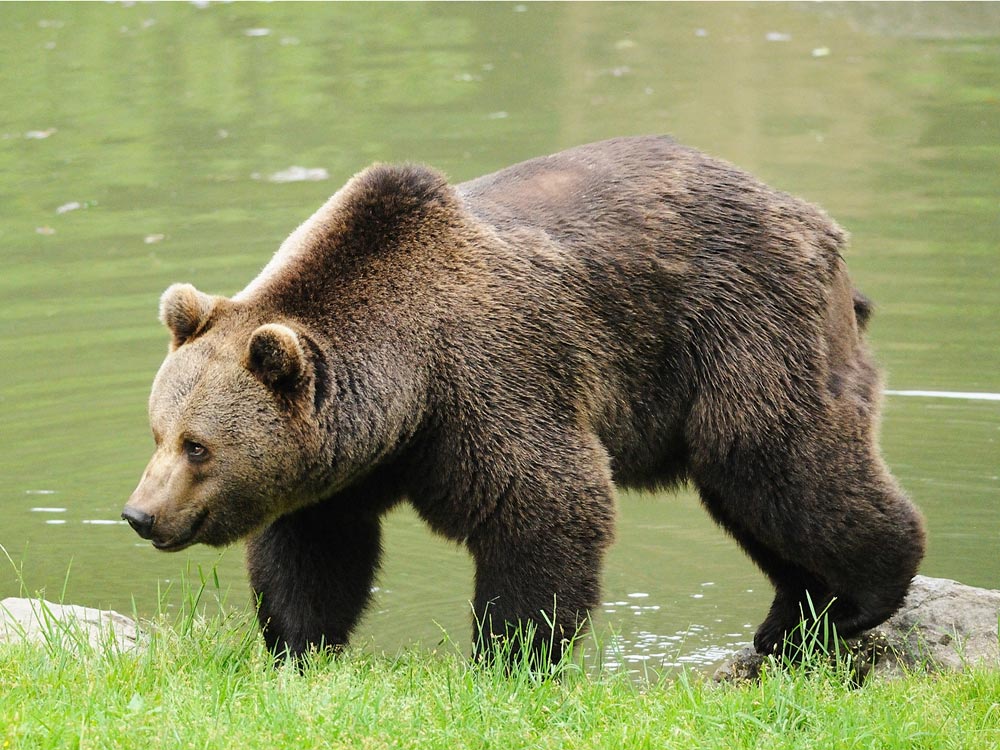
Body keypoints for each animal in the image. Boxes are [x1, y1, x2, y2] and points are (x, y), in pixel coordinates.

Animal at [123, 135, 920, 664]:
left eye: (199, 446)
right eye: (159, 432)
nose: (140, 514)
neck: (404, 391)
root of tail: (812, 219)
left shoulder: (489, 384)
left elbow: (543, 506)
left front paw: (509, 654)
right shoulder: (345, 464)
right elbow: (314, 550)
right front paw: (296, 645)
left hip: (743, 326)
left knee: (779, 459)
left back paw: (861, 598)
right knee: (753, 495)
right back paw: (793, 620)